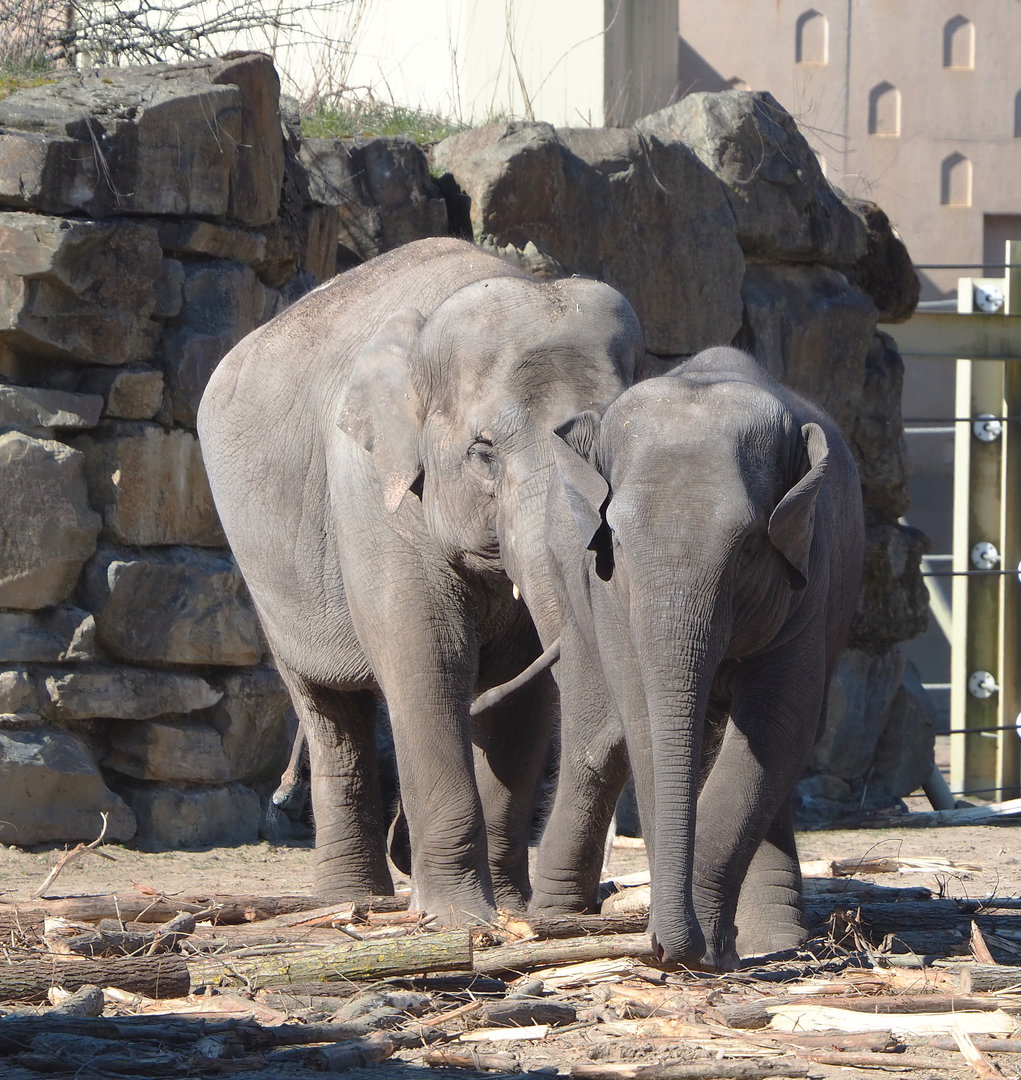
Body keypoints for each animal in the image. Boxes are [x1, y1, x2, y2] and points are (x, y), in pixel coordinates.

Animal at [197, 237, 643, 924]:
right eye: (484, 451)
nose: (564, 909)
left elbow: (524, 694)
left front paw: (508, 909)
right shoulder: (370, 490)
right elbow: (429, 658)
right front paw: (459, 918)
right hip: (261, 565)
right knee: (328, 709)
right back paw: (352, 902)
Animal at [531, 346, 865, 970]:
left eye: (751, 546)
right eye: (616, 539)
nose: (664, 949)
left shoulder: (813, 578)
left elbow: (777, 725)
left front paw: (710, 948)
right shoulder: (605, 588)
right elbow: (641, 720)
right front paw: (689, 946)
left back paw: (776, 938)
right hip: (565, 585)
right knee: (595, 744)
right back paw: (552, 923)